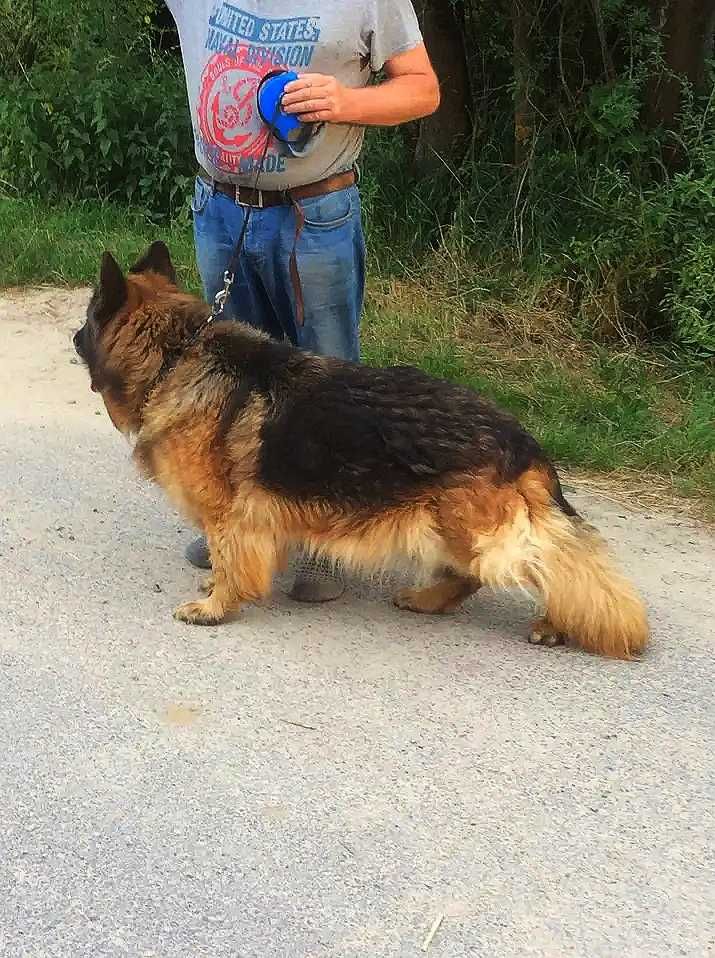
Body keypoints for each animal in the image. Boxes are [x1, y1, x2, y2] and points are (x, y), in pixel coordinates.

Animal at [72, 240, 648, 660]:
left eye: (87, 319)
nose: (74, 337)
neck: (176, 354)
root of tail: (520, 437)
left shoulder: (229, 517)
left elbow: (233, 565)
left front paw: (216, 606)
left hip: (474, 534)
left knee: (550, 567)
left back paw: (554, 623)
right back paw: (428, 599)